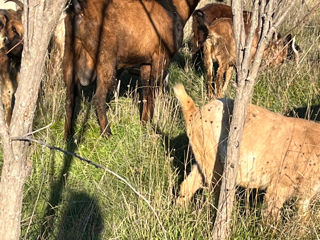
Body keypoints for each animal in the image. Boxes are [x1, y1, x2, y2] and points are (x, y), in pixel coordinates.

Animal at [63, 0, 201, 139]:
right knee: (98, 99)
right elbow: (153, 92)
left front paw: (144, 123)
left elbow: (146, 93)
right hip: (106, 61)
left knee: (70, 99)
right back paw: (107, 134)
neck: (173, 6)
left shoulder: (146, 64)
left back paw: (67, 137)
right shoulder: (161, 57)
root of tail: (79, 8)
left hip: (69, 58)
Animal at [175, 83, 320, 220]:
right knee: (216, 194)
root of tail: (194, 113)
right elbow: (271, 216)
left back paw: (180, 213)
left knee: (188, 185)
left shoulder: (305, 194)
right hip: (214, 163)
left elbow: (303, 218)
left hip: (204, 158)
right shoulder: (279, 184)